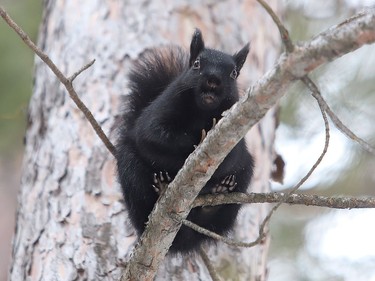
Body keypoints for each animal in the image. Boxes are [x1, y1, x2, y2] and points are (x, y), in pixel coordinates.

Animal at [116, 29, 254, 254]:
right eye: (196, 64)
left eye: (234, 73)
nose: (213, 79)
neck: (202, 111)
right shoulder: (162, 110)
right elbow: (152, 134)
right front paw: (197, 140)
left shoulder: (236, 132)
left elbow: (231, 157)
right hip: (130, 169)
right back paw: (162, 187)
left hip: (245, 173)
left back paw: (218, 195)